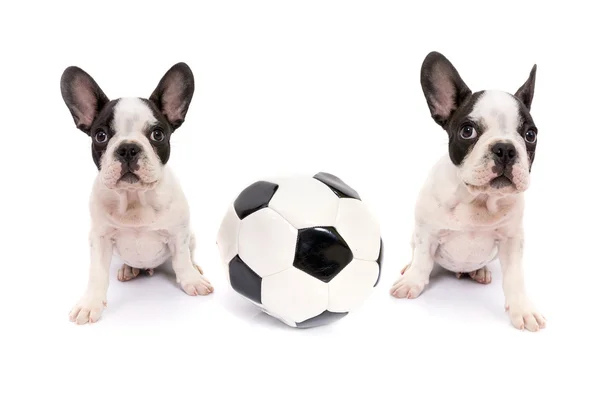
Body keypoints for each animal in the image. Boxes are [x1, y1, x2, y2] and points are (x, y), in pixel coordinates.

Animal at [61, 63, 213, 324]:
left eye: (157, 134)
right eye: (100, 136)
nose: (128, 148)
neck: (134, 199)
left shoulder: (178, 233)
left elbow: (181, 260)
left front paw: (191, 280)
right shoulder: (100, 238)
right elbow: (97, 273)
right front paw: (90, 303)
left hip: (191, 236)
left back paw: (196, 268)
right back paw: (130, 268)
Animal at [392, 50, 548, 332]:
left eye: (530, 135)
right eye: (467, 131)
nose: (505, 149)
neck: (478, 198)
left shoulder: (511, 241)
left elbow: (515, 277)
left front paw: (522, 309)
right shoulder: (426, 231)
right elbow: (422, 259)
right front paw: (412, 282)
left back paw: (479, 271)